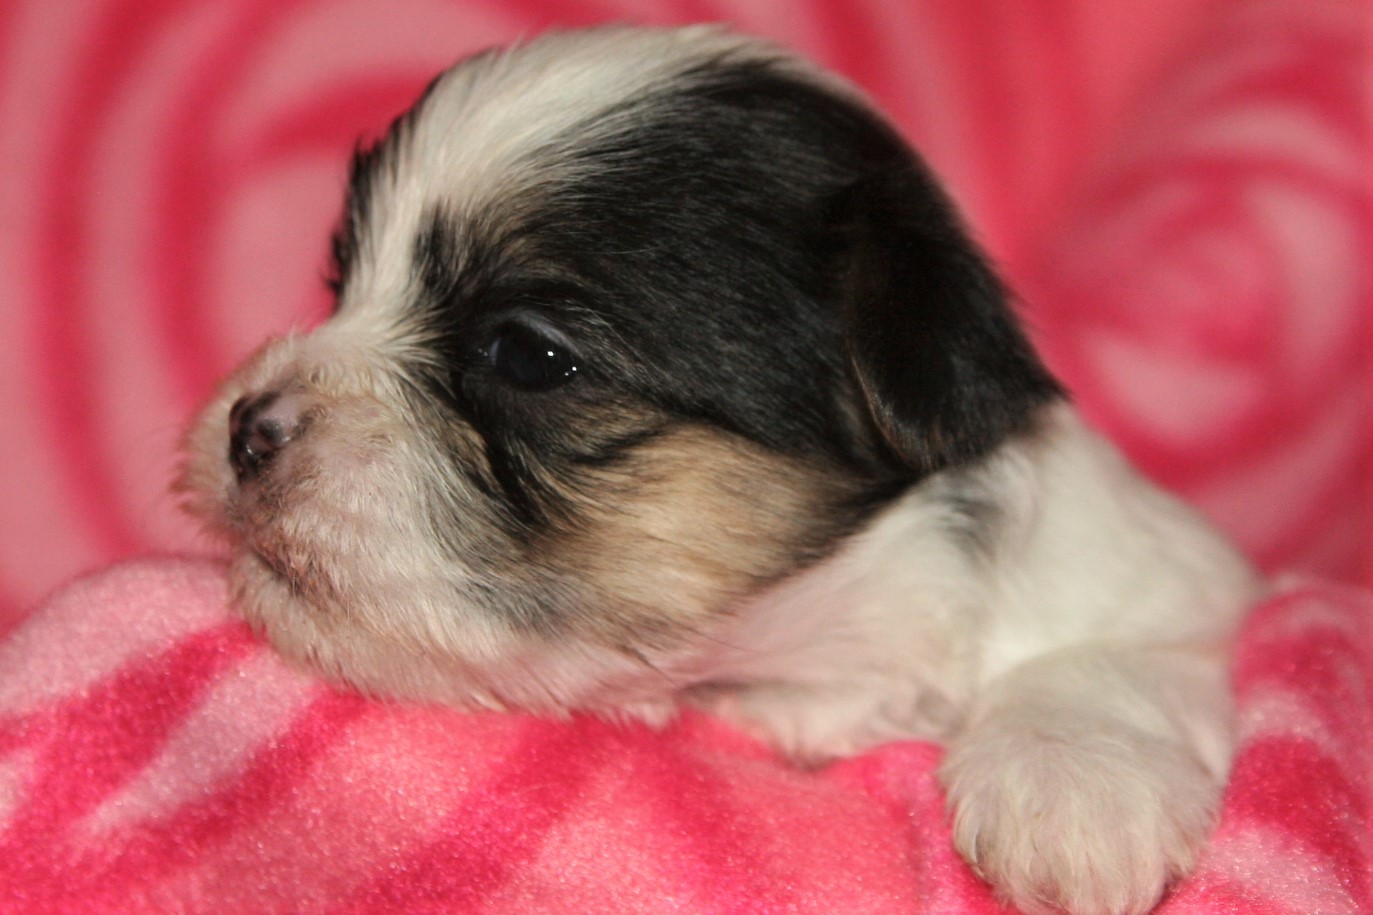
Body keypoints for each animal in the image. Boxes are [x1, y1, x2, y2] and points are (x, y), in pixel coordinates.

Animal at [181, 25, 1259, 915]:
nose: (246, 425)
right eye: (340, 282)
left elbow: (1100, 660)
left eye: (526, 354)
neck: (820, 653)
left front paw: (1074, 787)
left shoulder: (1178, 590)